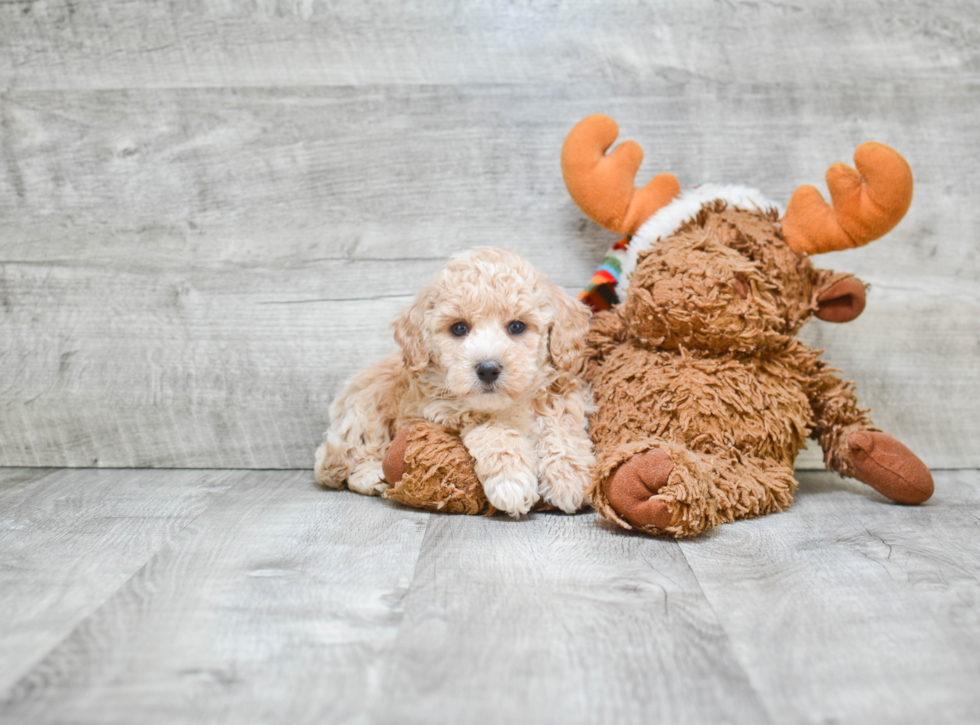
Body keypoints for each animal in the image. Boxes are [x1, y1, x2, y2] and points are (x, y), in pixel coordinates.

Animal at [316, 247, 588, 516]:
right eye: (458, 328)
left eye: (517, 326)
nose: (488, 369)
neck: (507, 404)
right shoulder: (440, 410)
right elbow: (494, 428)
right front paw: (511, 480)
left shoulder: (562, 394)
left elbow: (561, 427)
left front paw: (567, 475)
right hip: (367, 410)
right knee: (347, 461)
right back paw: (374, 477)